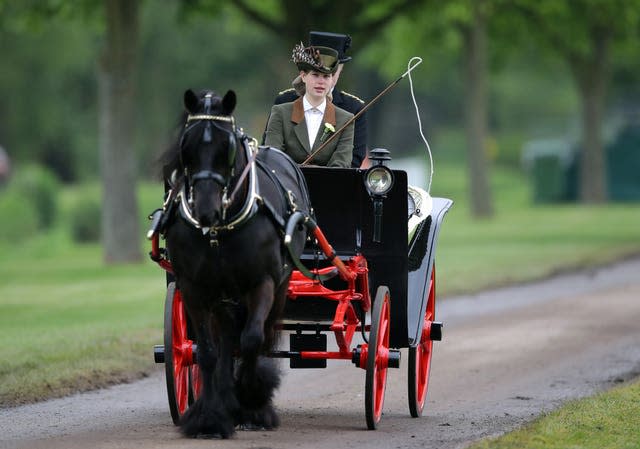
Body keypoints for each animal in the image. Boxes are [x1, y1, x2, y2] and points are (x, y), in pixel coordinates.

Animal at [159, 89, 312, 436]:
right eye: (186, 146)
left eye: (226, 147)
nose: (206, 210)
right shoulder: (194, 288)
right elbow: (207, 351)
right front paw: (209, 418)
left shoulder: (263, 283)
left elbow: (253, 339)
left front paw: (253, 403)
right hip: (224, 294)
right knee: (227, 338)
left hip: (276, 287)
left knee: (258, 336)